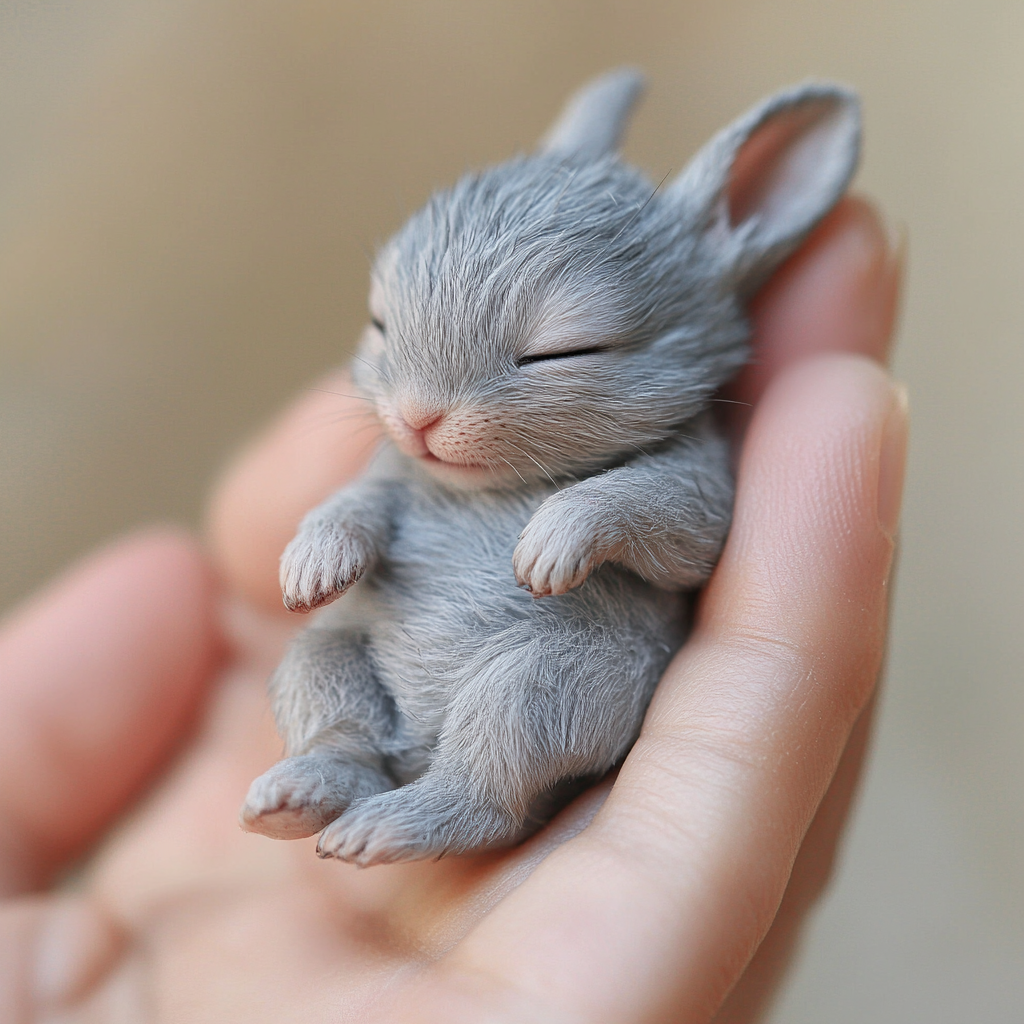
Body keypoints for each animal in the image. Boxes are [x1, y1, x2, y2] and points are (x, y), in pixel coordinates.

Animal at [241, 68, 864, 864]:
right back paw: (301, 795)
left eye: (564, 351)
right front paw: (311, 568)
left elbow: (658, 514)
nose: (418, 418)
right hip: (330, 655)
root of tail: (414, 751)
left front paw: (545, 549)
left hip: (546, 684)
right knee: (340, 720)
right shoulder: (395, 478)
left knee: (487, 795)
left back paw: (385, 823)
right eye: (380, 323)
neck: (493, 487)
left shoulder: (697, 481)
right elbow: (356, 503)